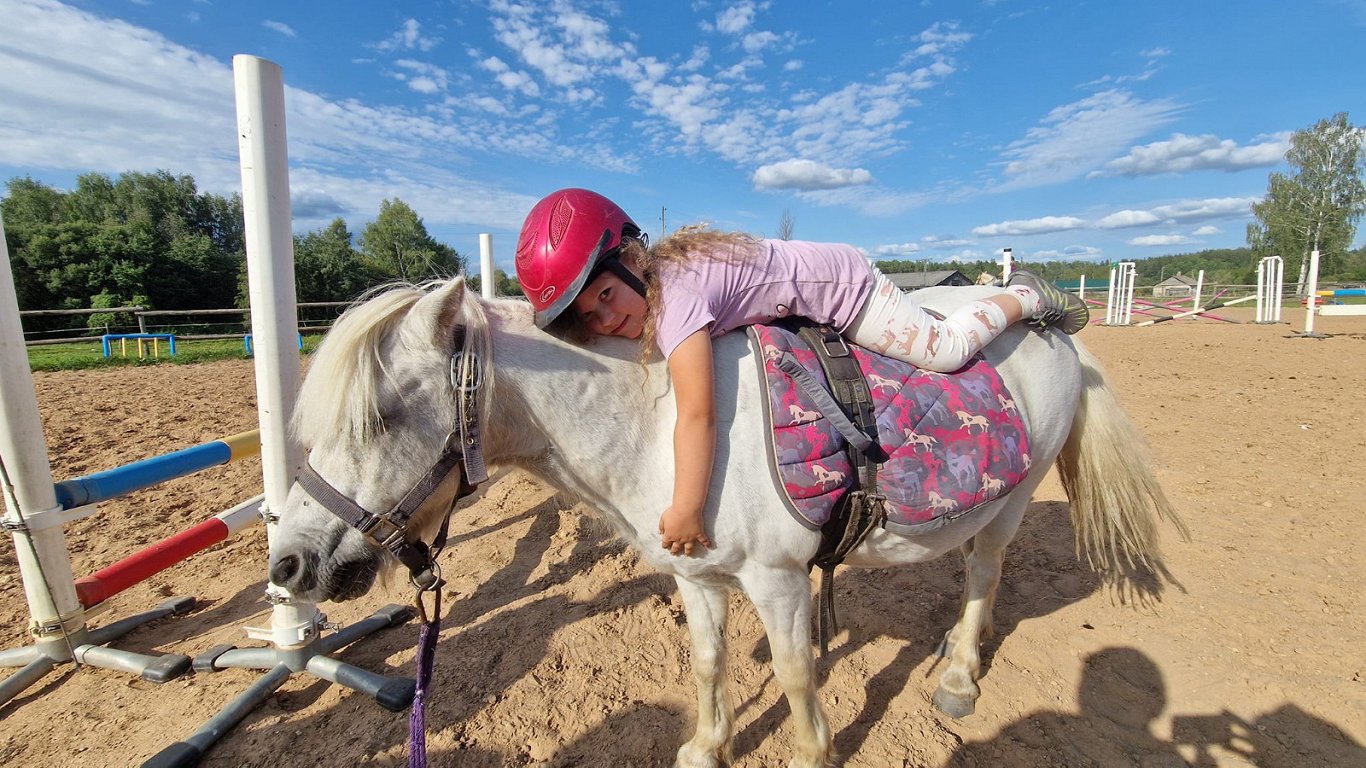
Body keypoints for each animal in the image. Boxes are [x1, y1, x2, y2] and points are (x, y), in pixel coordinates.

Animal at [266, 277, 1185, 759]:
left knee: (984, 574)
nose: (289, 565)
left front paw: (814, 750)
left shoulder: (777, 582)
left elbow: (797, 675)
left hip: (1011, 502)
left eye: (380, 415)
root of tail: (1061, 337)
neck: (658, 418)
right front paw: (706, 746)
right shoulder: (696, 577)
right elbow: (707, 663)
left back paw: (959, 673)